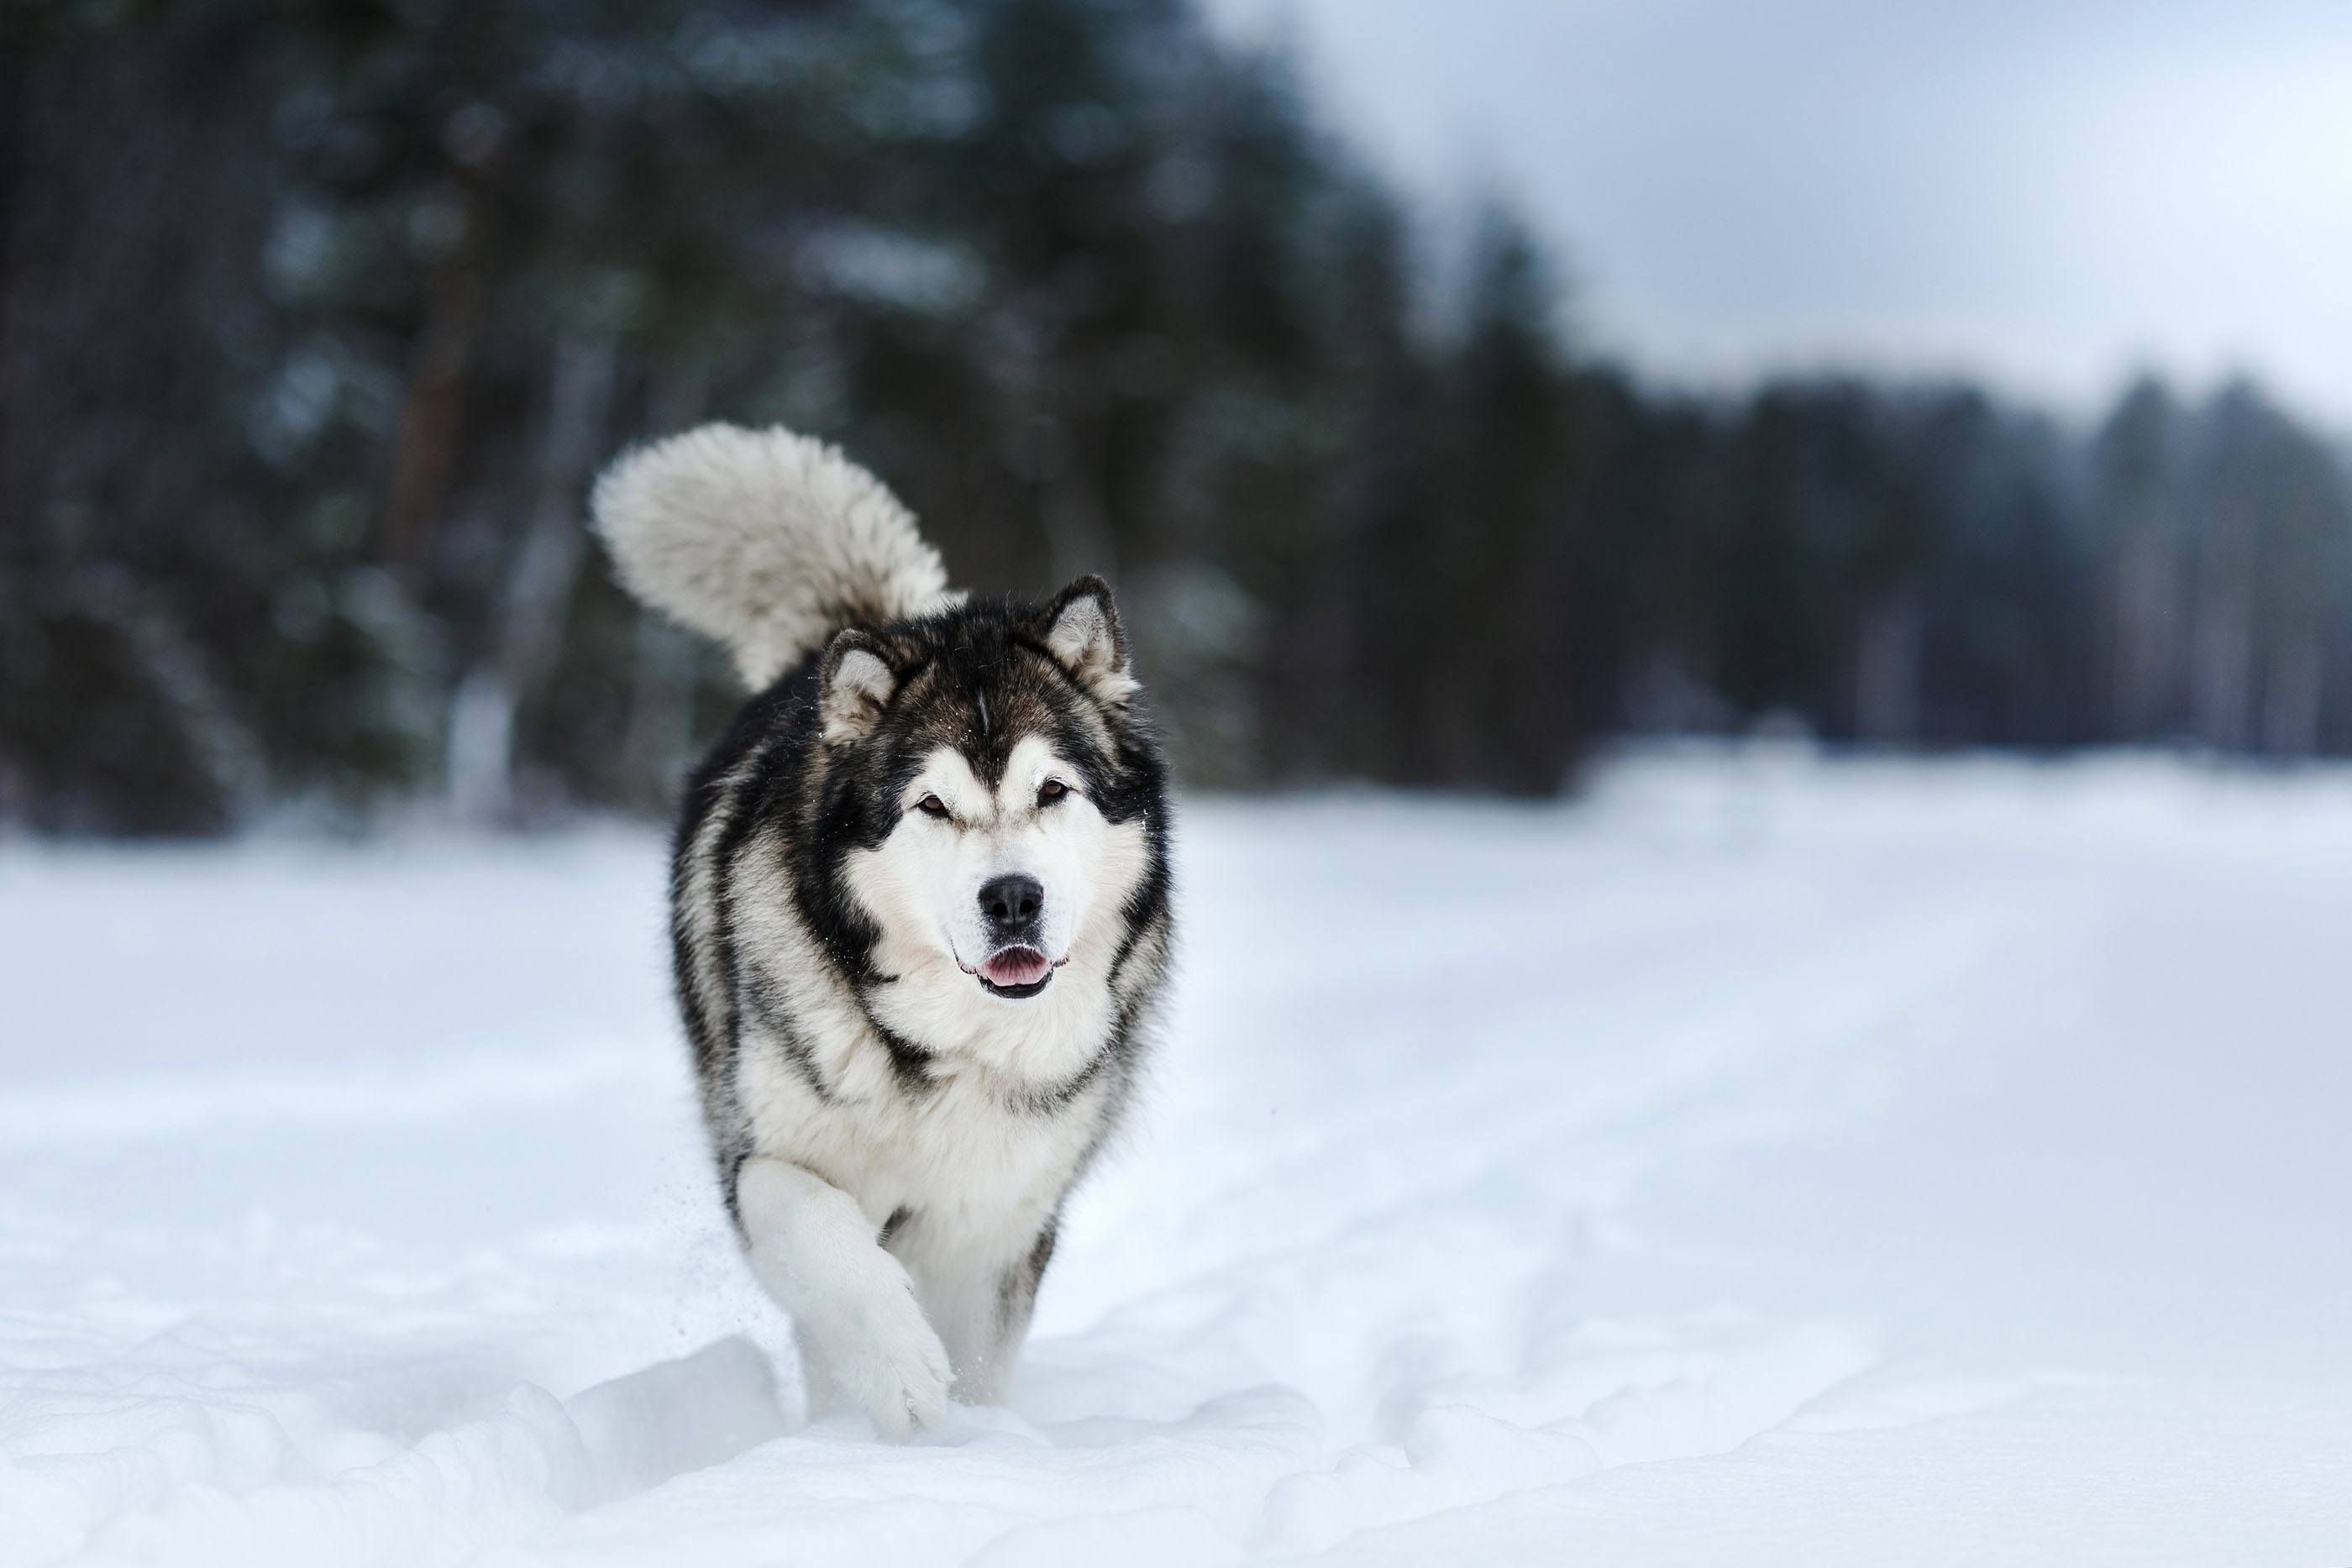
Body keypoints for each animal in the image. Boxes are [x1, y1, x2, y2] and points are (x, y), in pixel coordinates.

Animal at [592, 425, 1171, 1439]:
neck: (945, 1050)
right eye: (932, 805)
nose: (1012, 899)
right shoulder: (764, 1160)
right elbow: (830, 1246)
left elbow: (981, 1355)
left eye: (1052, 790)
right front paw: (899, 1372)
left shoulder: (997, 1221)